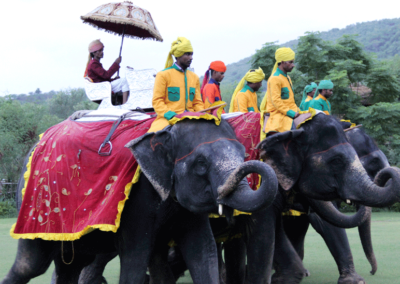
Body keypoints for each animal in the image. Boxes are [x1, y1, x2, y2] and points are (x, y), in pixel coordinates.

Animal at [1, 117, 280, 284]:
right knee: (30, 265)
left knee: (71, 264)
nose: (259, 152)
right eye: (201, 164)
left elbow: (203, 250)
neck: (166, 131)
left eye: (243, 153)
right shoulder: (136, 197)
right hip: (32, 206)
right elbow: (136, 253)